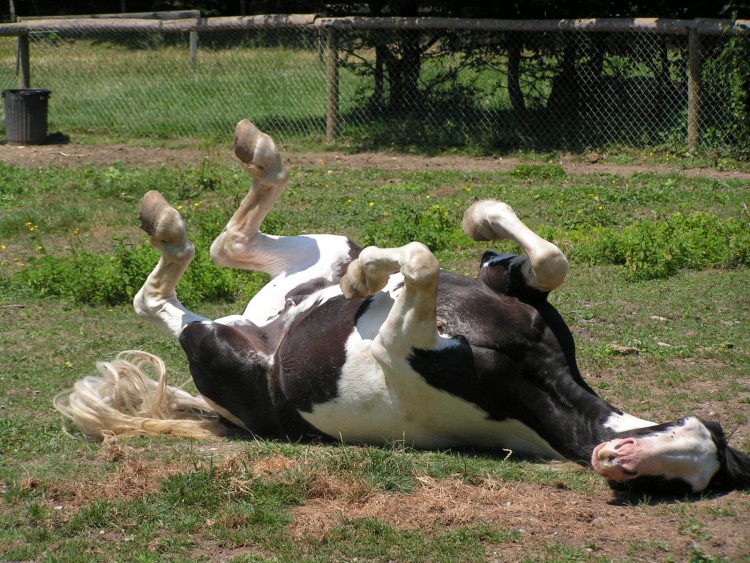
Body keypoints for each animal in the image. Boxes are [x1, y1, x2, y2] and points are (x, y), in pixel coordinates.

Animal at [55, 119, 748, 494]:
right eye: (699, 427)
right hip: (317, 252)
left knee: (158, 295)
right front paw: (470, 223)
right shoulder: (509, 289)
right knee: (229, 244)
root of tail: (264, 330)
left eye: (680, 479)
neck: (530, 375)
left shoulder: (398, 341)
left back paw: (174, 223)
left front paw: (371, 277)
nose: (615, 457)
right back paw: (235, 171)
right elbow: (541, 259)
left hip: (220, 349)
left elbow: (420, 260)